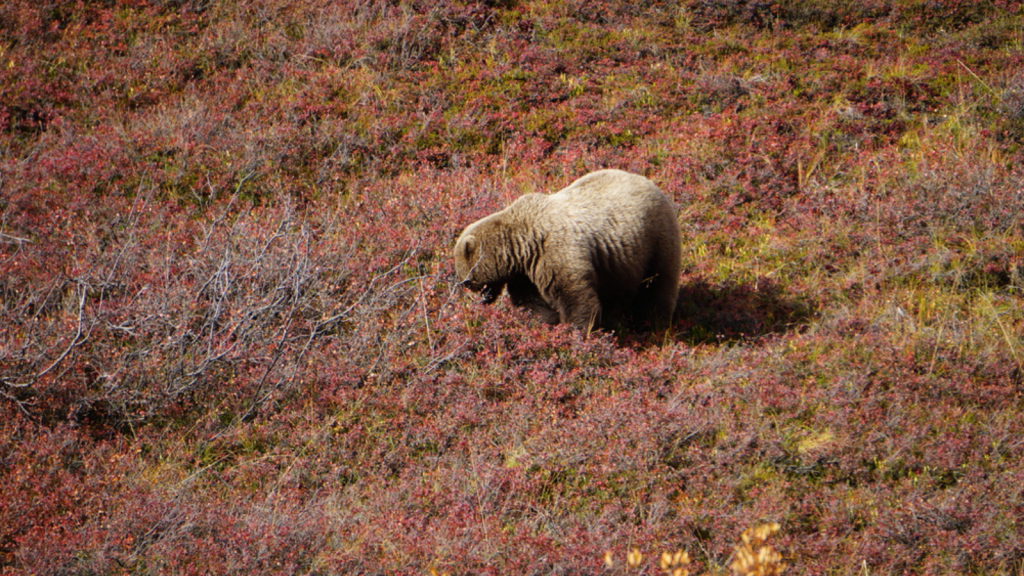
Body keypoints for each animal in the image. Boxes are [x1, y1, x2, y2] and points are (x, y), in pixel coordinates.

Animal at [454, 168, 679, 330]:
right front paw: (547, 322)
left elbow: (576, 298)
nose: (479, 300)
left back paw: (654, 325)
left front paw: (575, 330)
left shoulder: (556, 252)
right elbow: (532, 302)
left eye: (468, 281)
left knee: (657, 285)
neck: (522, 246)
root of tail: (651, 183)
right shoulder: (526, 272)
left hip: (654, 238)